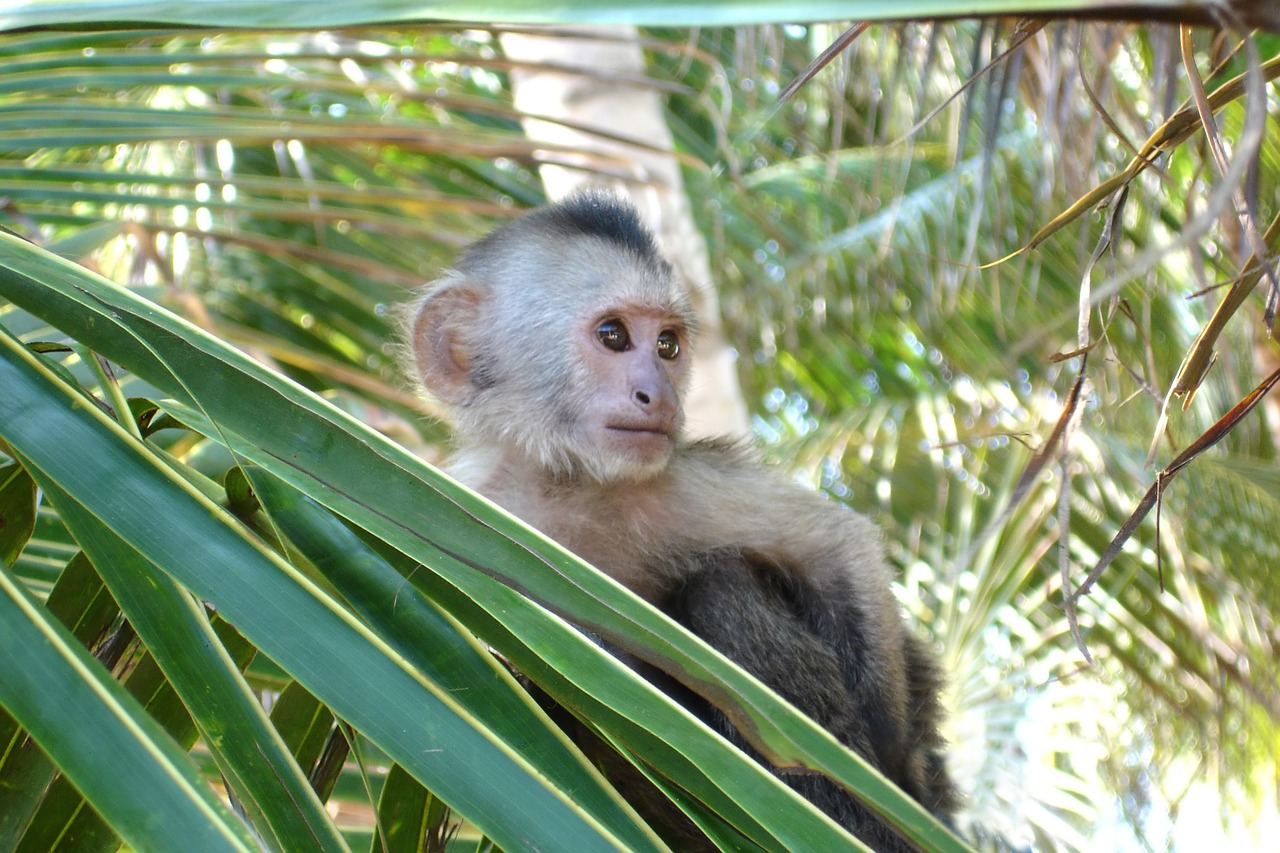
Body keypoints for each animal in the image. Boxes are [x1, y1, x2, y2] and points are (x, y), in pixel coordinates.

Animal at [404, 189, 957, 845]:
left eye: (668, 345)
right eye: (613, 336)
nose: (659, 395)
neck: (564, 483)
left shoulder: (674, 481)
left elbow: (837, 546)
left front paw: (894, 780)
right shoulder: (463, 503)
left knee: (723, 589)